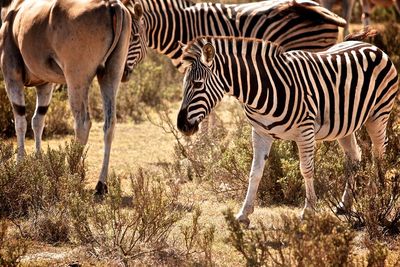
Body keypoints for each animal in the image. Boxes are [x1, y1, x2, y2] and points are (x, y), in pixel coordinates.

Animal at [0, 0, 147, 196]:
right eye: (135, 36)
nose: (126, 73)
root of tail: (111, 4)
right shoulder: (45, 84)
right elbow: (38, 120)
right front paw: (38, 161)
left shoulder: (12, 76)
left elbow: (21, 121)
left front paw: (20, 165)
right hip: (110, 75)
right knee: (110, 124)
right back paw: (101, 185)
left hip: (76, 78)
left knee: (83, 123)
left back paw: (70, 175)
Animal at [177, 35, 400, 224]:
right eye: (184, 84)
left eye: (197, 84)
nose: (181, 125)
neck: (264, 89)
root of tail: (373, 46)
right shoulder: (260, 133)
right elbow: (255, 172)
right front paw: (244, 213)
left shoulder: (305, 132)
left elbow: (306, 170)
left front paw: (308, 211)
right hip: (345, 125)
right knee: (354, 157)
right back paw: (345, 204)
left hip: (378, 115)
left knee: (379, 154)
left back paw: (376, 196)